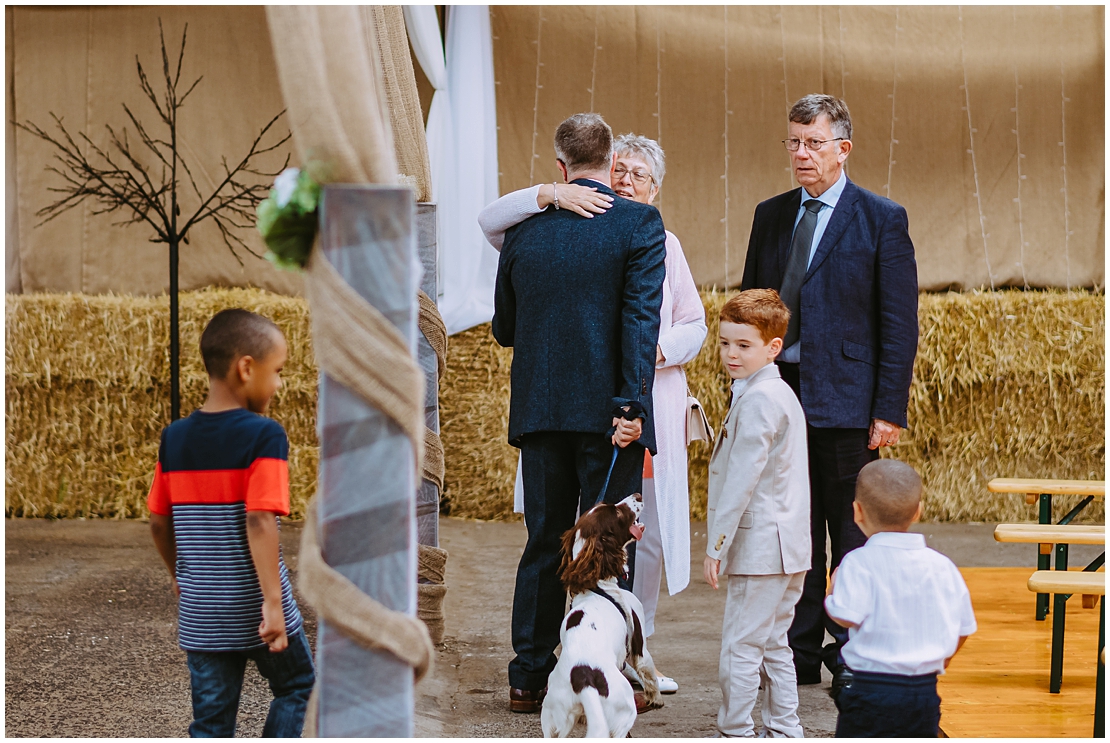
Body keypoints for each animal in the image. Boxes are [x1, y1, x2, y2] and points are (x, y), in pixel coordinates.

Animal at [541, 493, 661, 737]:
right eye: (617, 512)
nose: (638, 495)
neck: (597, 586)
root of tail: (583, 678)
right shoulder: (639, 645)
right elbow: (648, 672)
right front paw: (656, 698)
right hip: (624, 710)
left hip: (553, 718)